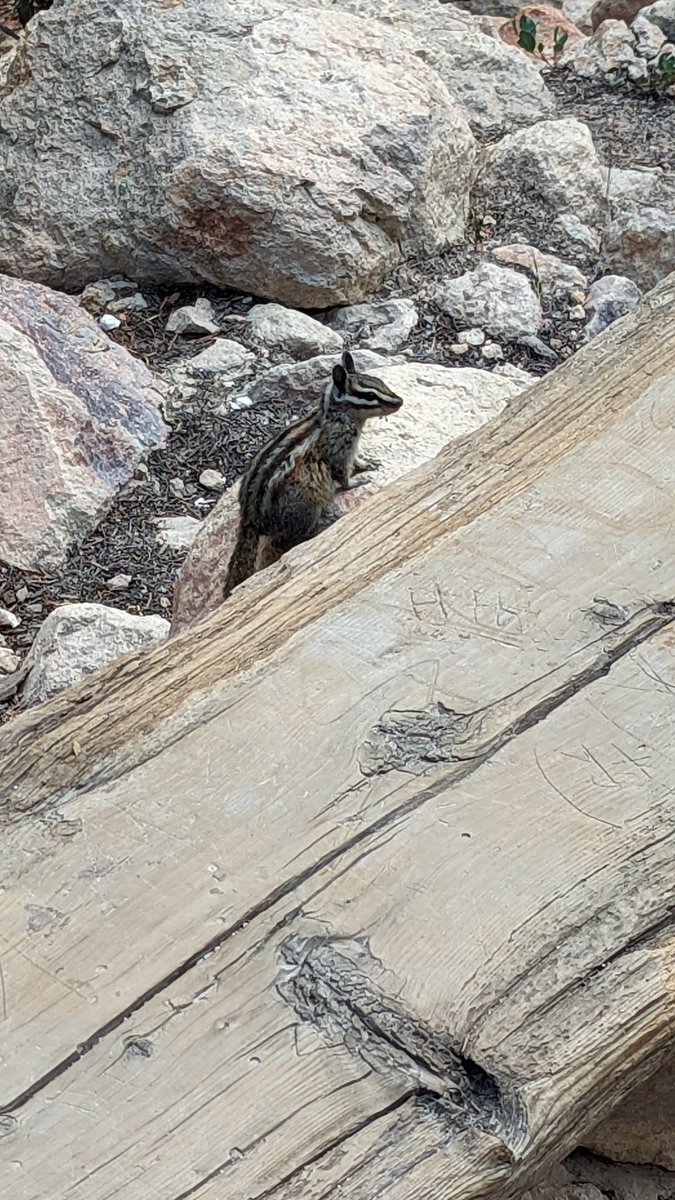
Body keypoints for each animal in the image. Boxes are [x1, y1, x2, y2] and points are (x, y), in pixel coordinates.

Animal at [222, 350, 403, 598]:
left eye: (380, 382)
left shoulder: (351, 448)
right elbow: (343, 476)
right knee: (281, 542)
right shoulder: (338, 452)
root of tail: (250, 519)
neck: (337, 417)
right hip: (306, 507)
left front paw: (368, 463)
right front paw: (358, 480)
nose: (400, 401)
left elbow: (357, 460)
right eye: (369, 395)